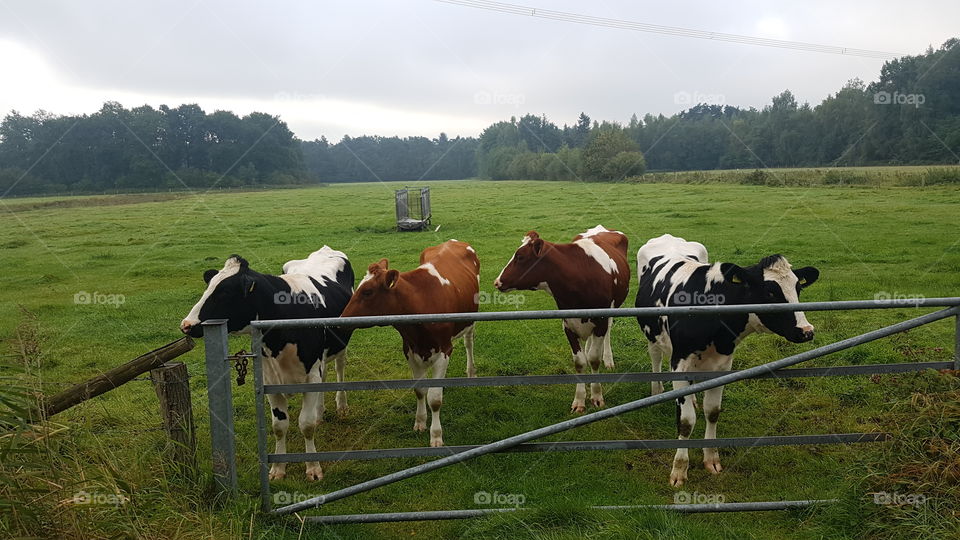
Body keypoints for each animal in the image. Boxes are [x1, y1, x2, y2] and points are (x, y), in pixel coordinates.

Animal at [180, 246, 354, 482]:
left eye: (225, 292)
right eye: (209, 287)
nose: (186, 325)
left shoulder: (310, 375)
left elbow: (306, 425)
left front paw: (313, 468)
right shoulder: (271, 378)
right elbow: (279, 426)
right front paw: (278, 469)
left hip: (340, 343)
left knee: (339, 369)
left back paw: (341, 406)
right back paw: (320, 413)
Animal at [340, 240, 479, 448]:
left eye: (367, 291)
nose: (341, 319)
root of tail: (453, 241)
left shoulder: (444, 351)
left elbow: (435, 399)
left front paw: (436, 435)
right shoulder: (410, 350)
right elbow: (420, 391)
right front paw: (420, 422)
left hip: (470, 320)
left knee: (468, 343)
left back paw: (471, 372)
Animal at [494, 225, 629, 413]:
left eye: (520, 257)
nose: (497, 282)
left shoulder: (601, 319)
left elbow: (594, 359)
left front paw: (596, 396)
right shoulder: (568, 324)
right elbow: (580, 362)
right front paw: (579, 400)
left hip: (612, 309)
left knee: (607, 332)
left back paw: (608, 360)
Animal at [634, 234, 819, 487]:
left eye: (798, 288)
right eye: (770, 293)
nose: (806, 331)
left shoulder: (722, 364)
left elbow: (712, 411)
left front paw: (711, 459)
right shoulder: (679, 361)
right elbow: (685, 421)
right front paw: (679, 469)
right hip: (652, 332)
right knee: (655, 355)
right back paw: (657, 391)